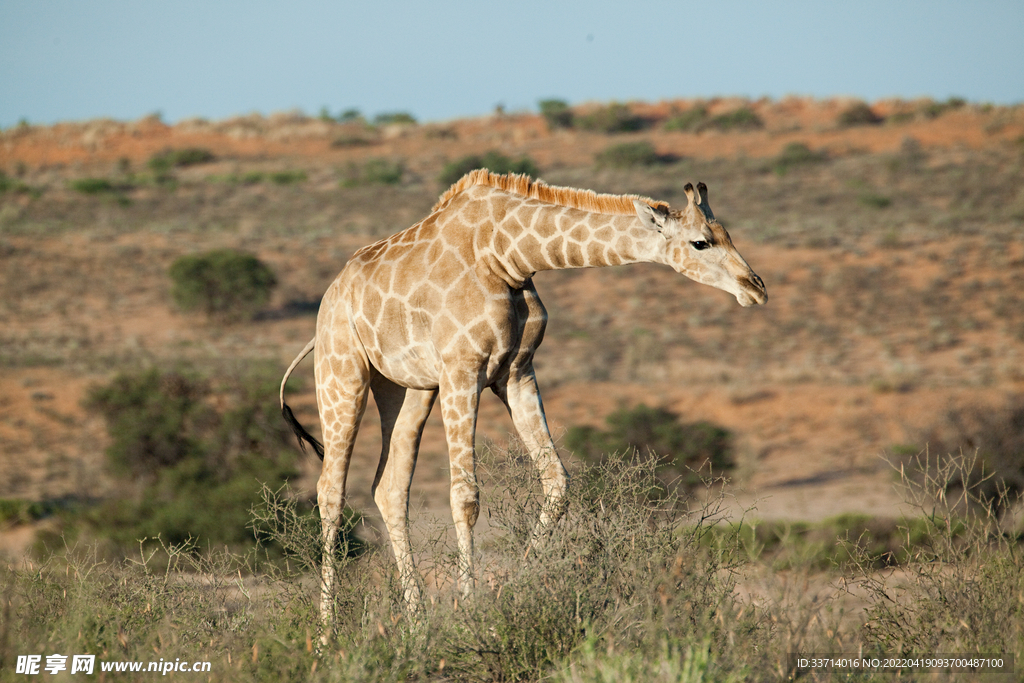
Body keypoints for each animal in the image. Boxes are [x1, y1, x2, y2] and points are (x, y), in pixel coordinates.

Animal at [276, 167, 765, 638]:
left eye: (728, 234)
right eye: (700, 242)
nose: (756, 288)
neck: (509, 254)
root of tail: (329, 299)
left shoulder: (516, 372)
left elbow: (557, 482)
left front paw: (507, 598)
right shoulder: (462, 370)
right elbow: (465, 496)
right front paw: (469, 616)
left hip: (406, 388)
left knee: (389, 488)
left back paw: (416, 627)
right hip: (343, 374)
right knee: (330, 491)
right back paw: (326, 636)